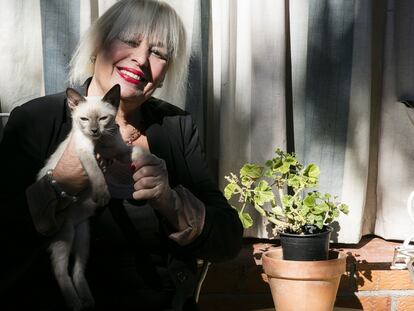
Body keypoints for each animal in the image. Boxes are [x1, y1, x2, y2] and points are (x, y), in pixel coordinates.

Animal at [37, 85, 144, 311]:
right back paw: (75, 302)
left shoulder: (119, 151)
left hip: (83, 237)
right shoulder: (85, 152)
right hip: (66, 235)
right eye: (84, 119)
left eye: (103, 118)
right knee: (60, 271)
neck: (101, 143)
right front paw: (102, 195)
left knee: (77, 269)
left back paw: (87, 299)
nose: (94, 131)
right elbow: (96, 173)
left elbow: (139, 152)